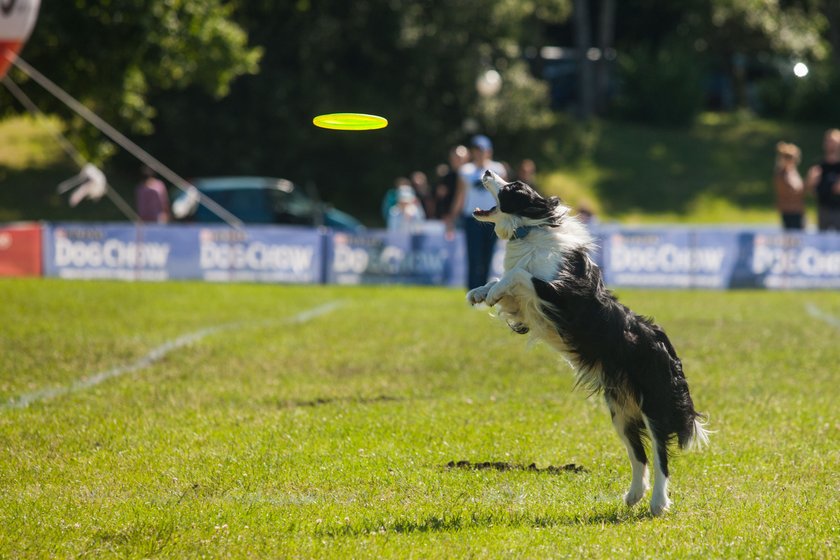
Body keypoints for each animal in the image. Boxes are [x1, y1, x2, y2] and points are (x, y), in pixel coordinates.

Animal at [470, 171, 704, 516]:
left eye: (513, 187)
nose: (486, 172)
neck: (530, 228)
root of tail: (663, 340)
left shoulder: (561, 295)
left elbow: (518, 274)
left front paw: (493, 290)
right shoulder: (527, 313)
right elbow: (507, 281)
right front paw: (480, 291)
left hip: (653, 402)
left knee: (661, 453)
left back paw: (658, 503)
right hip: (620, 409)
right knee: (639, 454)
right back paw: (633, 495)